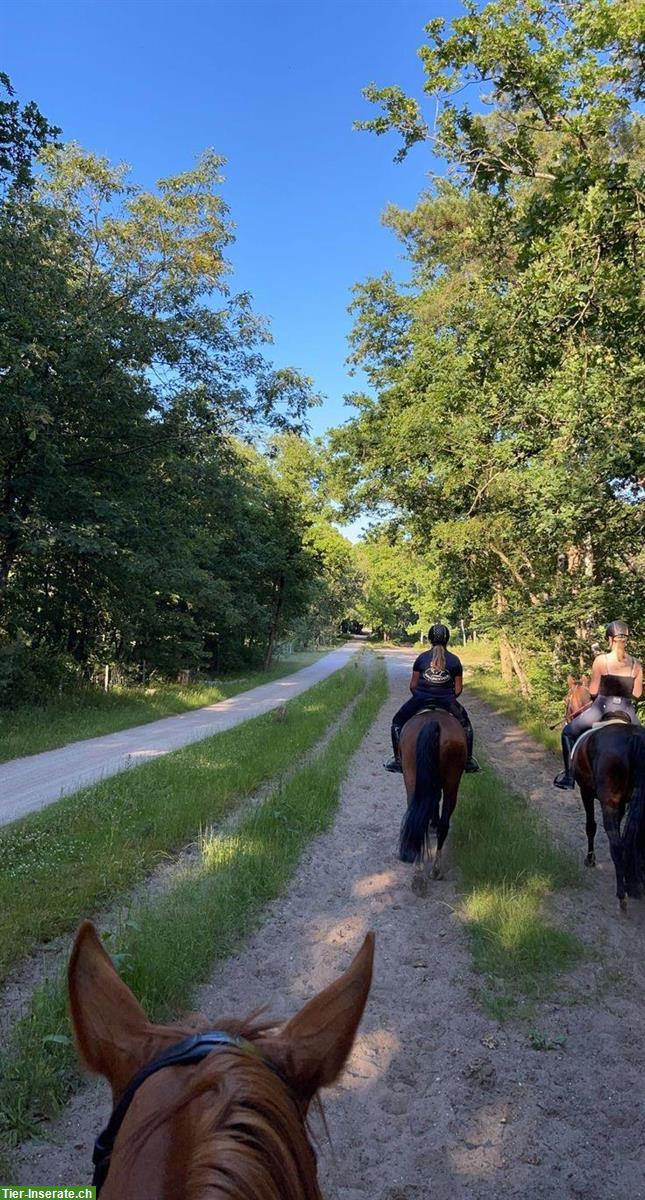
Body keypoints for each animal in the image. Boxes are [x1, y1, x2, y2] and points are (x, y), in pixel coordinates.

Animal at [393, 705, 465, 888]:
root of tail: (433, 721)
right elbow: (435, 800)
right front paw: (434, 822)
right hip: (452, 782)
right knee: (443, 823)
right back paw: (435, 870)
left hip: (412, 778)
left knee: (418, 819)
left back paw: (419, 868)